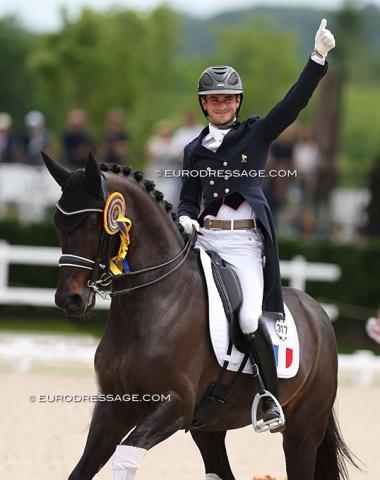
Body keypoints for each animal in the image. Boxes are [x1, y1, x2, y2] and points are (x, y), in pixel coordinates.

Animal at [43, 151, 358, 480]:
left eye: (94, 223)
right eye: (57, 223)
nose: (69, 299)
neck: (159, 301)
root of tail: (317, 311)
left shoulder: (175, 406)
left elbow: (125, 455)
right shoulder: (114, 408)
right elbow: (82, 469)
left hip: (303, 432)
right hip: (210, 427)